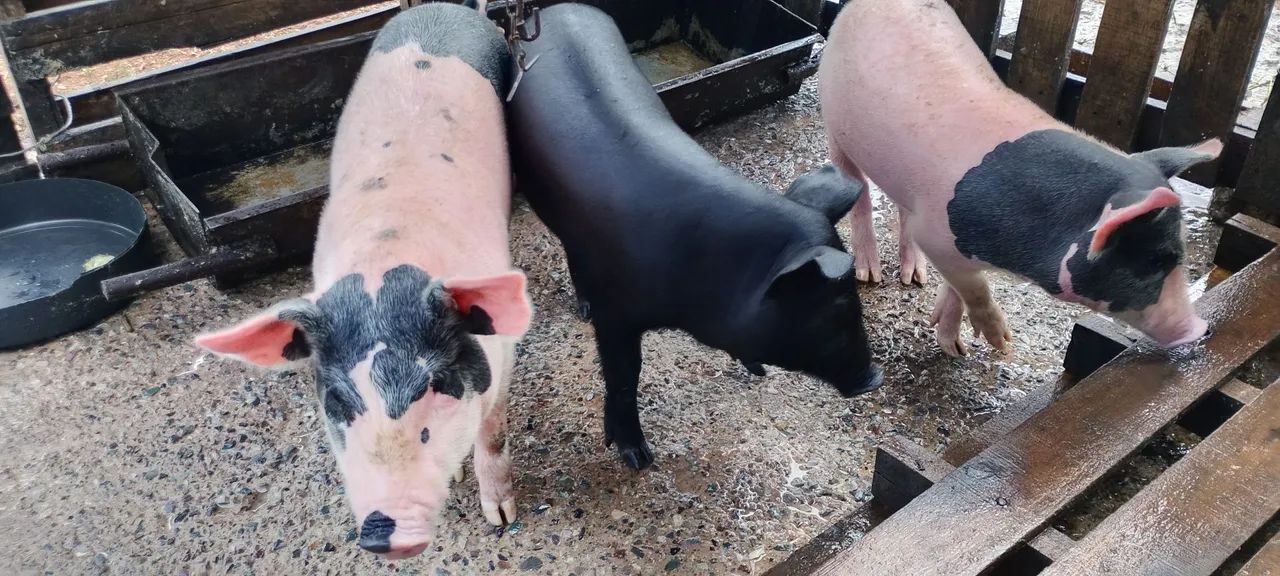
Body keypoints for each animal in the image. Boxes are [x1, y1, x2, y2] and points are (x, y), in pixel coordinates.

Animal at [193, 3, 530, 559]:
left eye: (437, 387)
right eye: (337, 403)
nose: (382, 531)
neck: (383, 263)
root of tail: (443, 9)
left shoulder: (503, 360)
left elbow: (495, 436)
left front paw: (501, 517)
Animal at [508, 4, 883, 471]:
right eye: (835, 310)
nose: (874, 378)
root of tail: (551, 11)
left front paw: (756, 370)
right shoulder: (617, 314)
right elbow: (624, 377)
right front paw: (638, 458)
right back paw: (584, 310)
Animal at [818, 0, 1221, 356]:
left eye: (1180, 255)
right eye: (1153, 261)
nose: (1200, 328)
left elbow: (957, 287)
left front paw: (955, 346)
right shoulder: (935, 232)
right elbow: (974, 288)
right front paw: (998, 343)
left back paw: (914, 277)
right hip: (835, 123)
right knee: (859, 193)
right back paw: (870, 274)